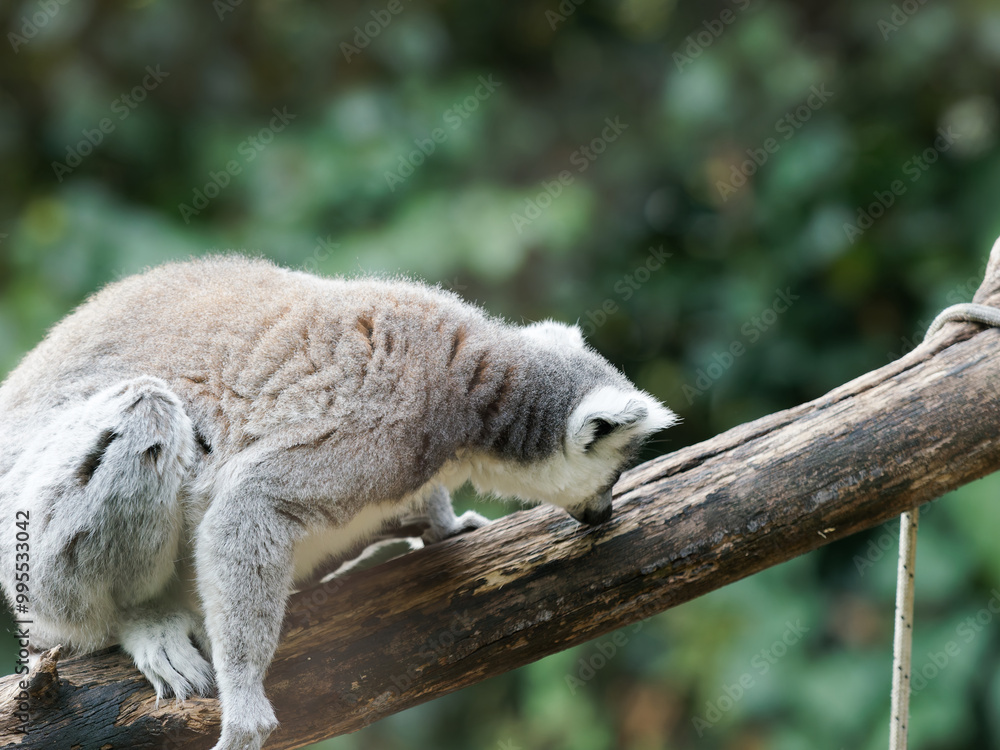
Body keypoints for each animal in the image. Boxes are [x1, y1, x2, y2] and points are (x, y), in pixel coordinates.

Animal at [0, 255, 676, 750]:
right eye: (615, 474)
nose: (604, 514)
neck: (473, 384)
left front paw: (444, 524)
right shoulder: (380, 430)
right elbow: (250, 503)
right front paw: (245, 704)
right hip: (30, 546)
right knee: (145, 409)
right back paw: (141, 619)